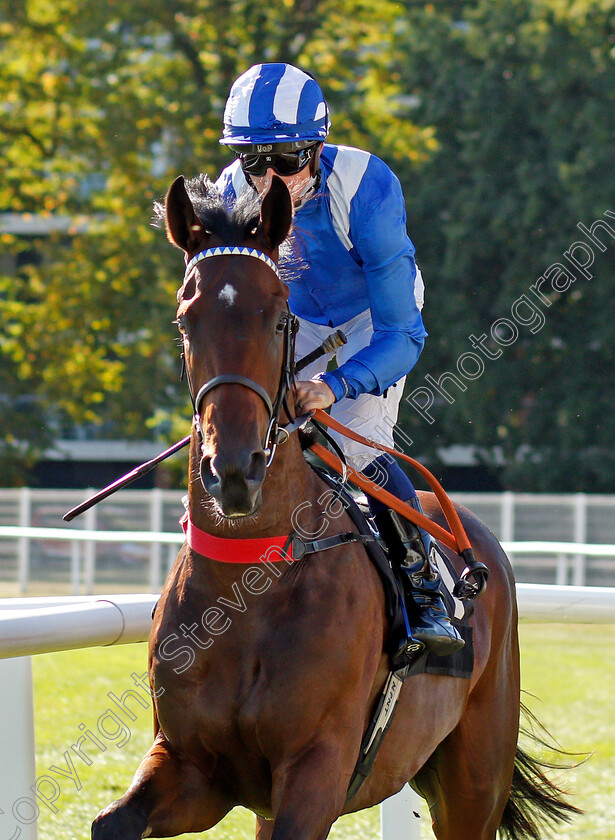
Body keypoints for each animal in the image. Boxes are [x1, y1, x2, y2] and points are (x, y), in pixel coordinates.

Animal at [91, 174, 576, 836]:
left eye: (278, 318)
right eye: (186, 320)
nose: (234, 472)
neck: (251, 579)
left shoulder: (318, 766)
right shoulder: (193, 765)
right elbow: (112, 820)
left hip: (475, 775)